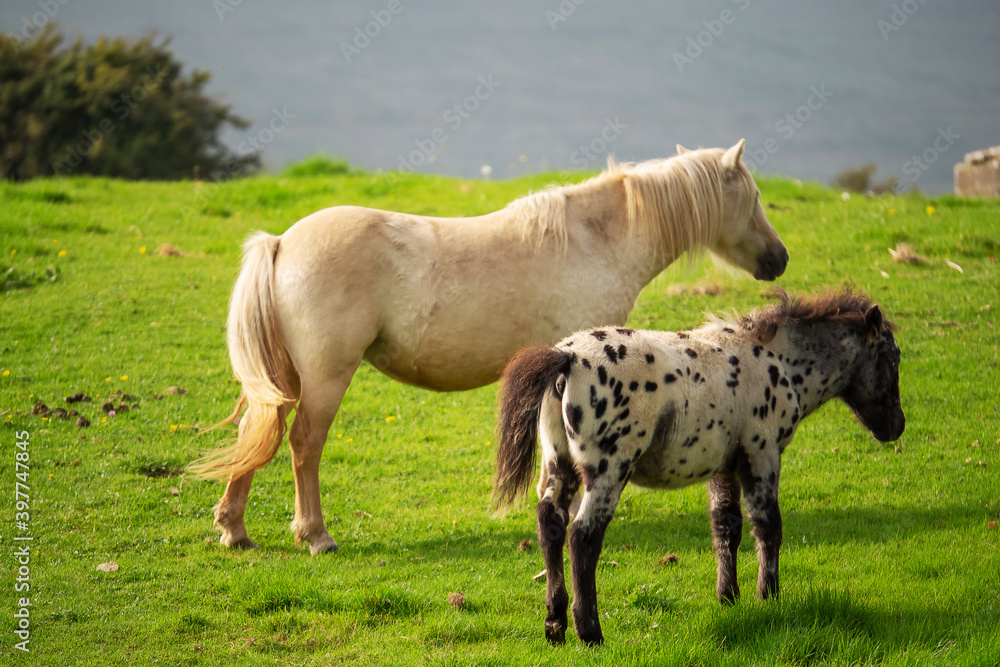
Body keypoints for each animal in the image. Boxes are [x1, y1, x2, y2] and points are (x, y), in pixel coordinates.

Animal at [191, 140, 789, 555]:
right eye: (755, 197)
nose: (779, 258)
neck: (597, 240)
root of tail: (281, 242)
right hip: (325, 378)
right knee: (303, 445)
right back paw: (316, 536)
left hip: (285, 380)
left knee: (258, 436)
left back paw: (234, 529)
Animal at [492, 287, 905, 646]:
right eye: (892, 359)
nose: (896, 426)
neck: (777, 360)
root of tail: (568, 359)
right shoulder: (763, 454)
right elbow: (768, 526)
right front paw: (768, 597)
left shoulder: (724, 466)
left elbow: (727, 525)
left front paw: (729, 597)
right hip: (609, 469)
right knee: (583, 536)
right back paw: (590, 632)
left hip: (560, 464)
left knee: (551, 523)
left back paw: (555, 624)